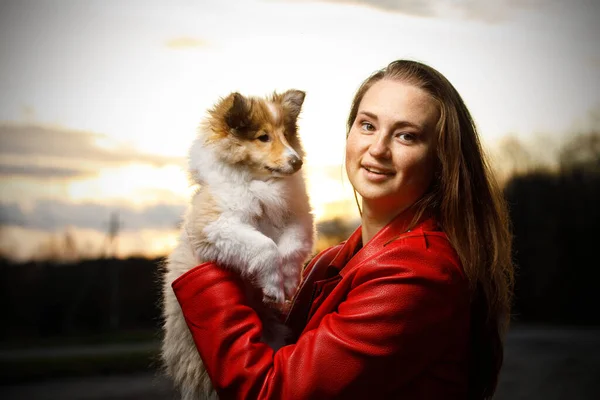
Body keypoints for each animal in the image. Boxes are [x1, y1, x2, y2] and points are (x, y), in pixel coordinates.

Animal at [162, 89, 316, 398]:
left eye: (286, 134)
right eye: (263, 137)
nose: (297, 162)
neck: (260, 185)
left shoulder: (299, 218)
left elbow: (289, 250)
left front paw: (287, 283)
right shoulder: (216, 226)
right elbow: (266, 246)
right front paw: (273, 287)